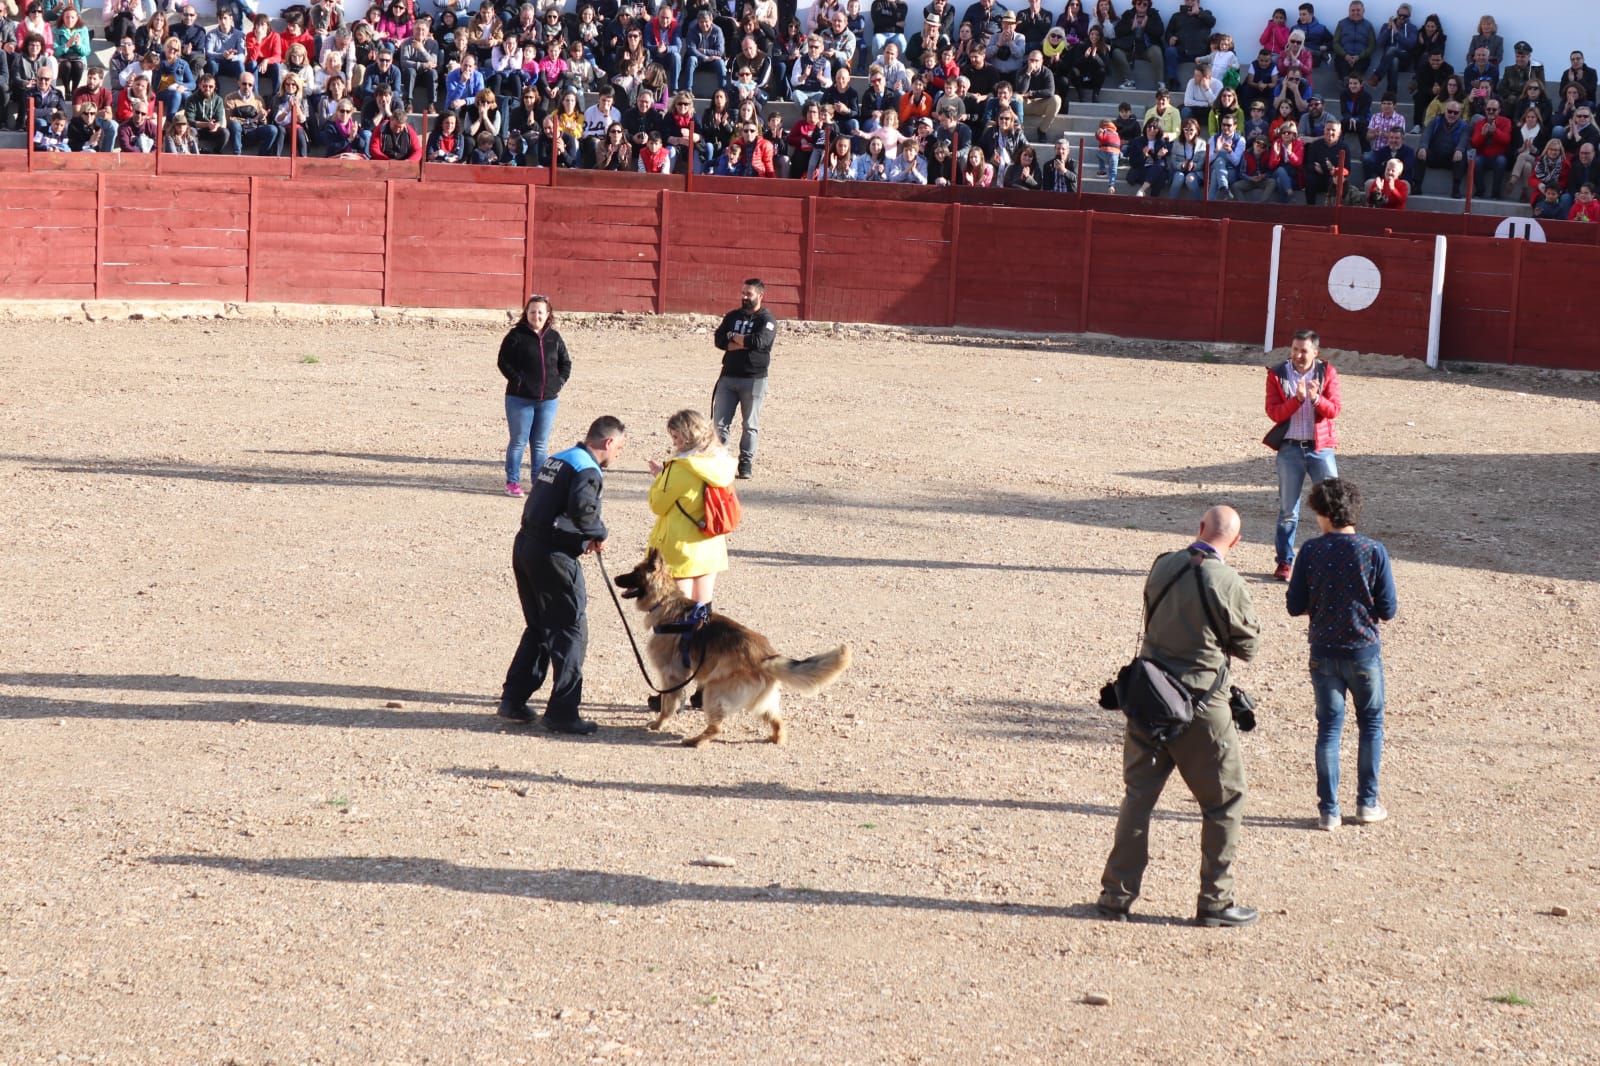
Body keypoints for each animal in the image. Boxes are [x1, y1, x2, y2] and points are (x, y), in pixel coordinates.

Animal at [608, 547, 851, 745]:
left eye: (634, 572)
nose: (615, 577)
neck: (665, 601)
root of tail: (765, 657)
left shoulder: (671, 675)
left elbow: (668, 703)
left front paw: (659, 723)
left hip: (714, 691)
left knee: (716, 728)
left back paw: (695, 741)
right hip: (760, 701)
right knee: (777, 721)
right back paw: (776, 737)